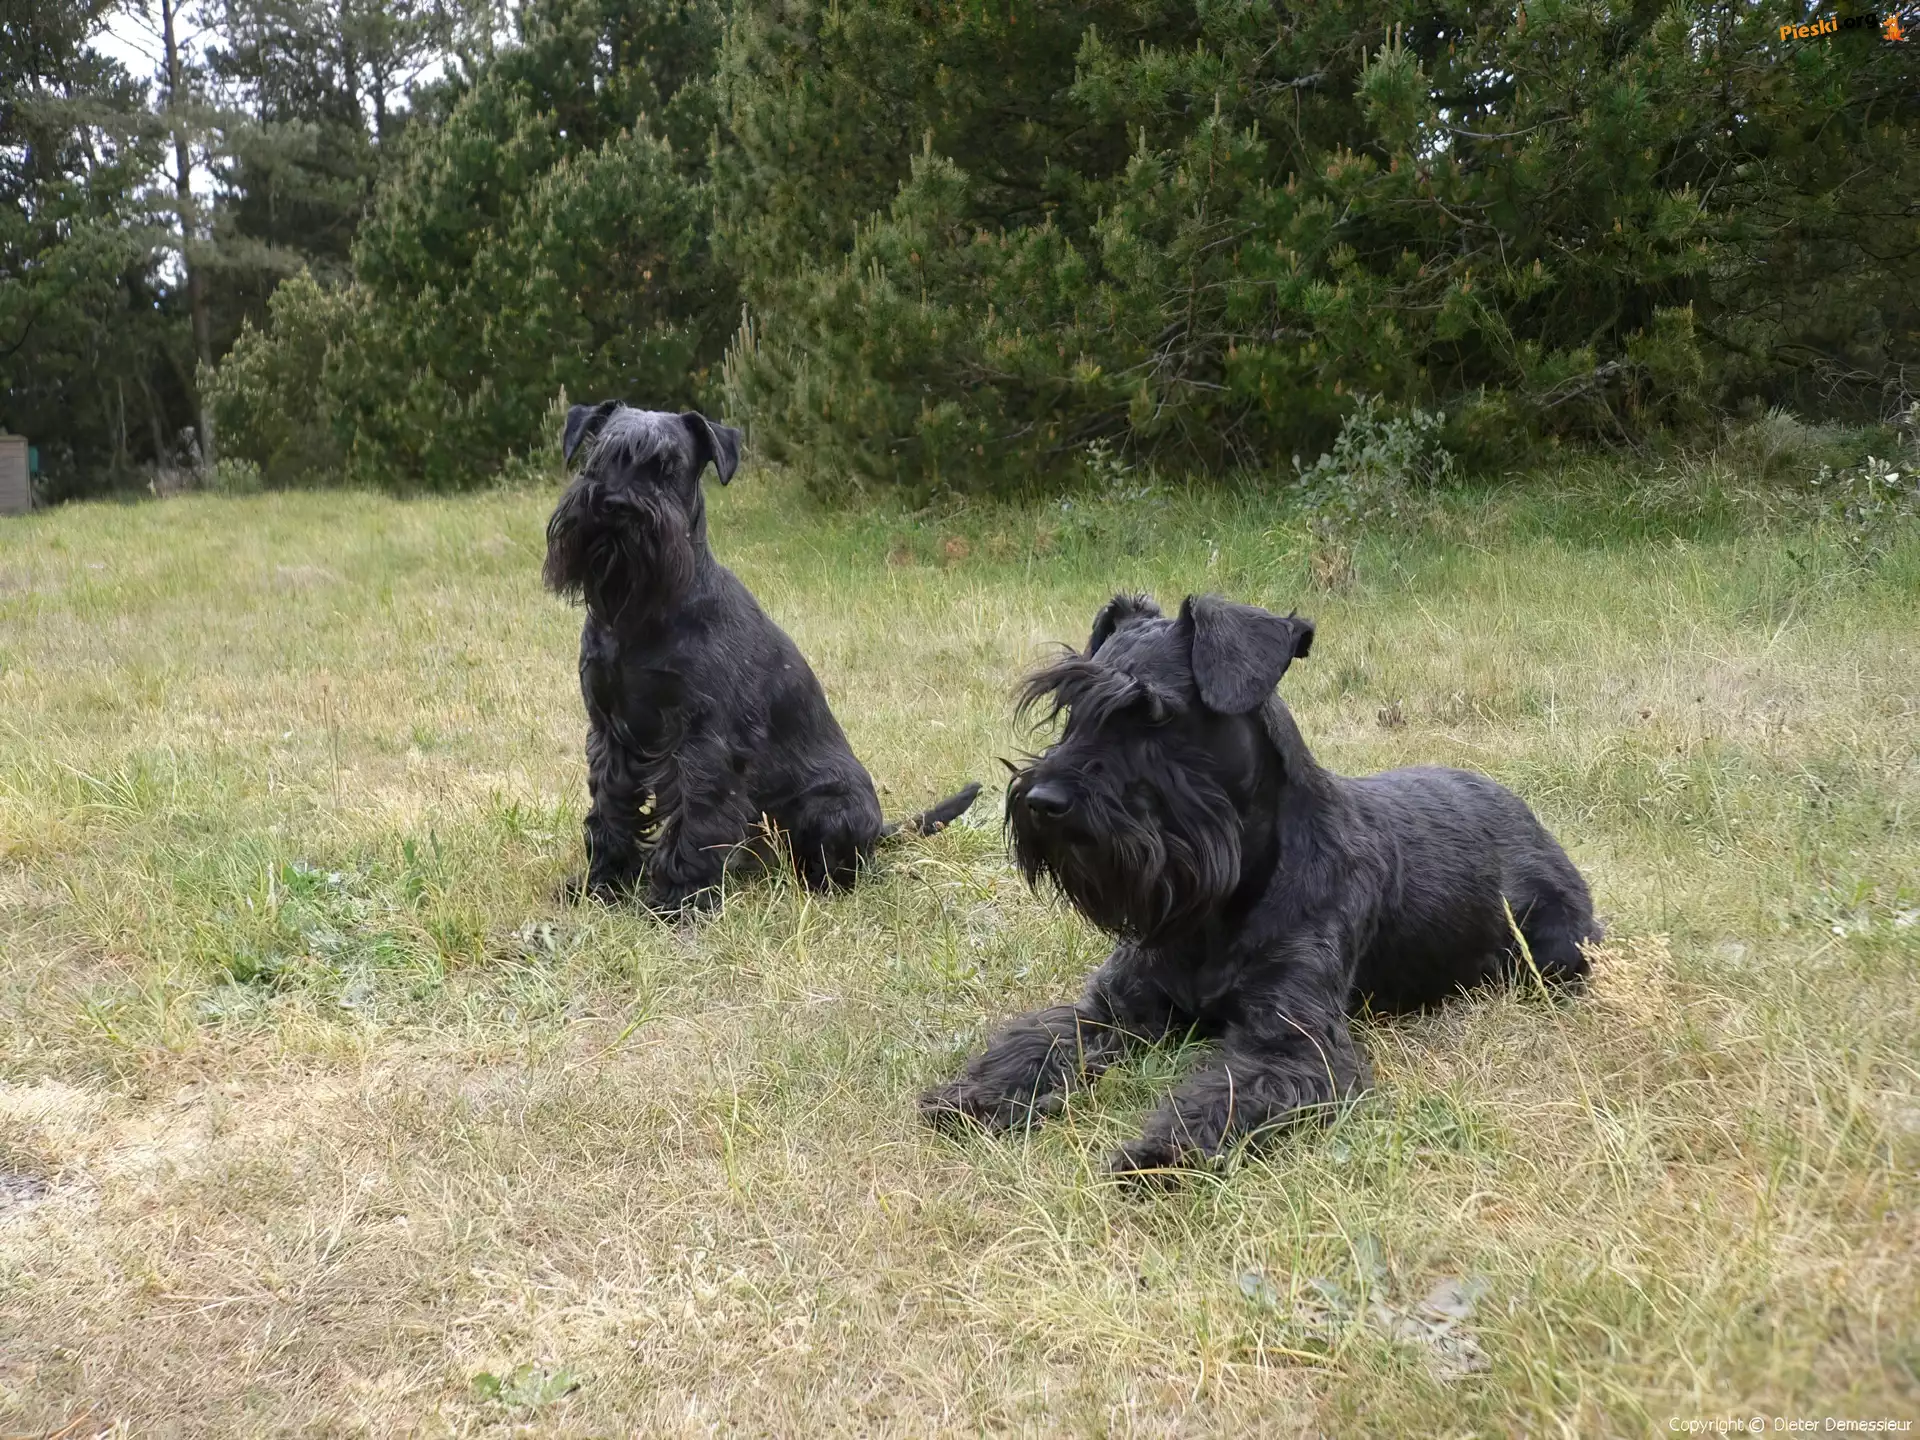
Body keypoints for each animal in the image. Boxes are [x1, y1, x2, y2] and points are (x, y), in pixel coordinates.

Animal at [543, 401, 980, 913]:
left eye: (668, 467)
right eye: (597, 457)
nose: (614, 504)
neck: (639, 612)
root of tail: (880, 828)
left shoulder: (703, 742)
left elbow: (696, 822)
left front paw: (678, 900)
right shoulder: (609, 733)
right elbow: (610, 811)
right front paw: (601, 885)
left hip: (828, 808)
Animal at [920, 593, 1598, 1178]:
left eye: (1156, 717)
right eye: (1069, 709)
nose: (1042, 801)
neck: (1223, 903)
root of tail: (1523, 809)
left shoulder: (1292, 1046)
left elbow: (1224, 1094)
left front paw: (1161, 1153)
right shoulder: (1114, 1009)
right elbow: (1038, 1044)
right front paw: (974, 1094)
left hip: (1557, 953)